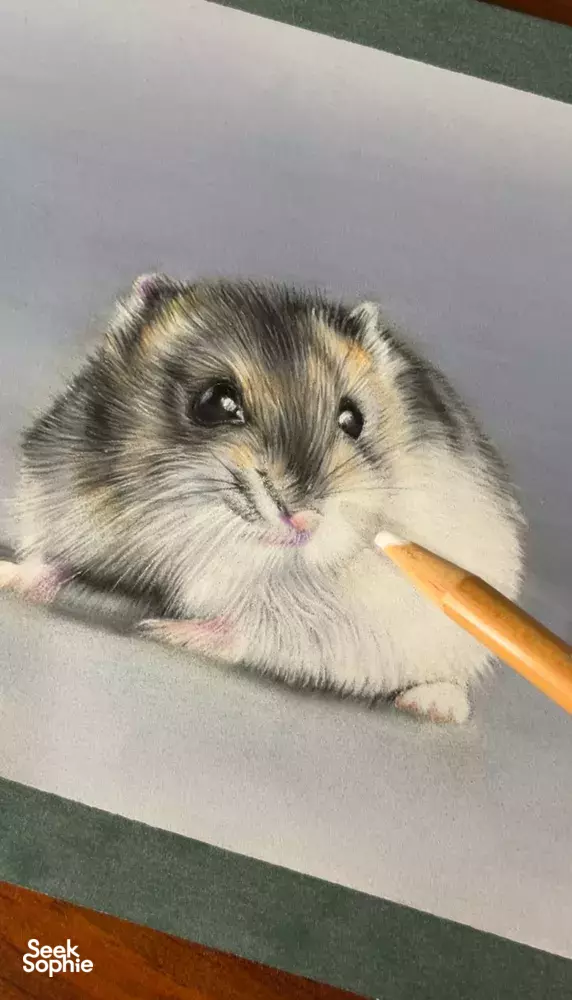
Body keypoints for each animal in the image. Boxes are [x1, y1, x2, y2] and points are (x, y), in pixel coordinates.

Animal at [0, 274, 525, 723]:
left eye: (353, 419)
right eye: (216, 403)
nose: (304, 519)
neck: (202, 536)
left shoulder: (336, 612)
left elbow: (246, 627)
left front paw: (162, 630)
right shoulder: (59, 494)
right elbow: (52, 558)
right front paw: (12, 577)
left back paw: (435, 706)